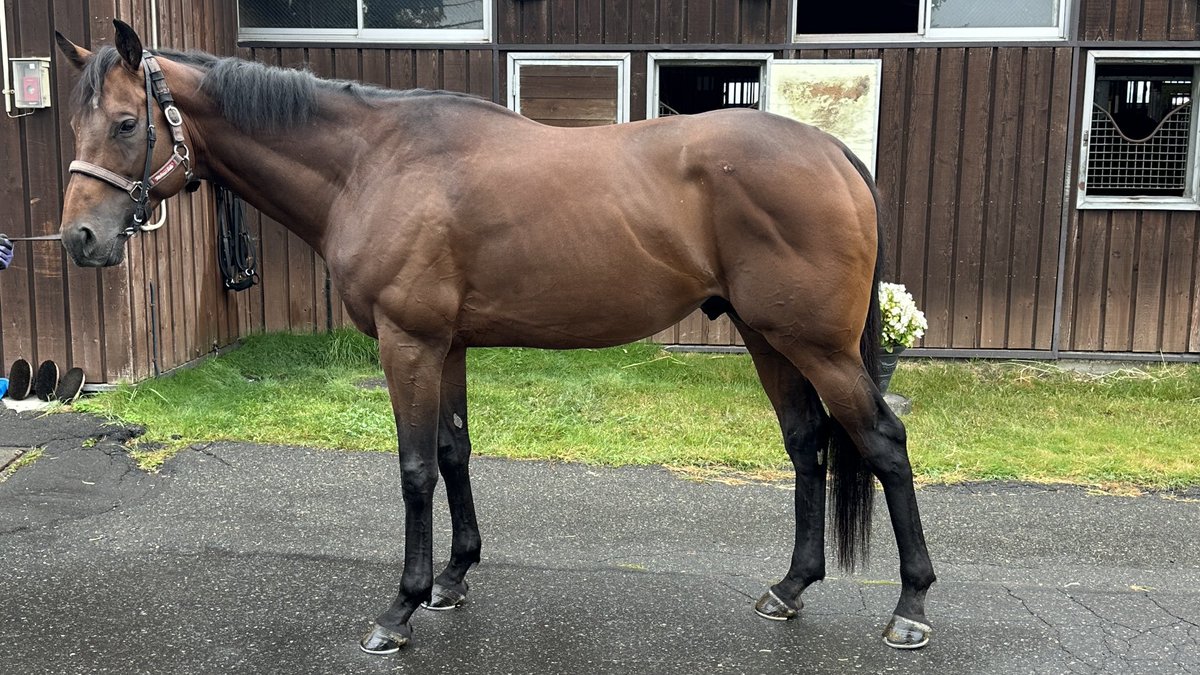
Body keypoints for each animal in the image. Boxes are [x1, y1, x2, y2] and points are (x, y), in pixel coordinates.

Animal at [55, 20, 936, 655]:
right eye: (76, 122)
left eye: (127, 123)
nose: (79, 241)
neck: (372, 163)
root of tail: (832, 152)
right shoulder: (445, 344)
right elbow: (454, 451)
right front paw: (453, 575)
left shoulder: (407, 342)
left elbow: (414, 468)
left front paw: (400, 607)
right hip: (768, 336)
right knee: (806, 442)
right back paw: (790, 587)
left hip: (817, 345)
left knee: (882, 442)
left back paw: (912, 606)